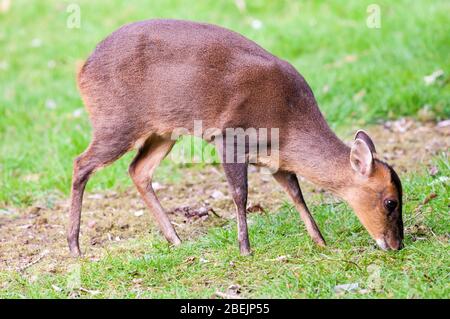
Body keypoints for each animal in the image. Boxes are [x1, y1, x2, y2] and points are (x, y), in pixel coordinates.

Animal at [67, 19, 404, 258]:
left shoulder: (277, 160)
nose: (397, 244)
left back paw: (176, 240)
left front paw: (320, 241)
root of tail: (82, 68)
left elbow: (296, 194)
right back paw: (75, 247)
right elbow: (240, 193)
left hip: (163, 131)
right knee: (81, 163)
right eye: (391, 202)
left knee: (138, 169)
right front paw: (245, 248)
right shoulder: (229, 136)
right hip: (116, 121)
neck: (288, 122)